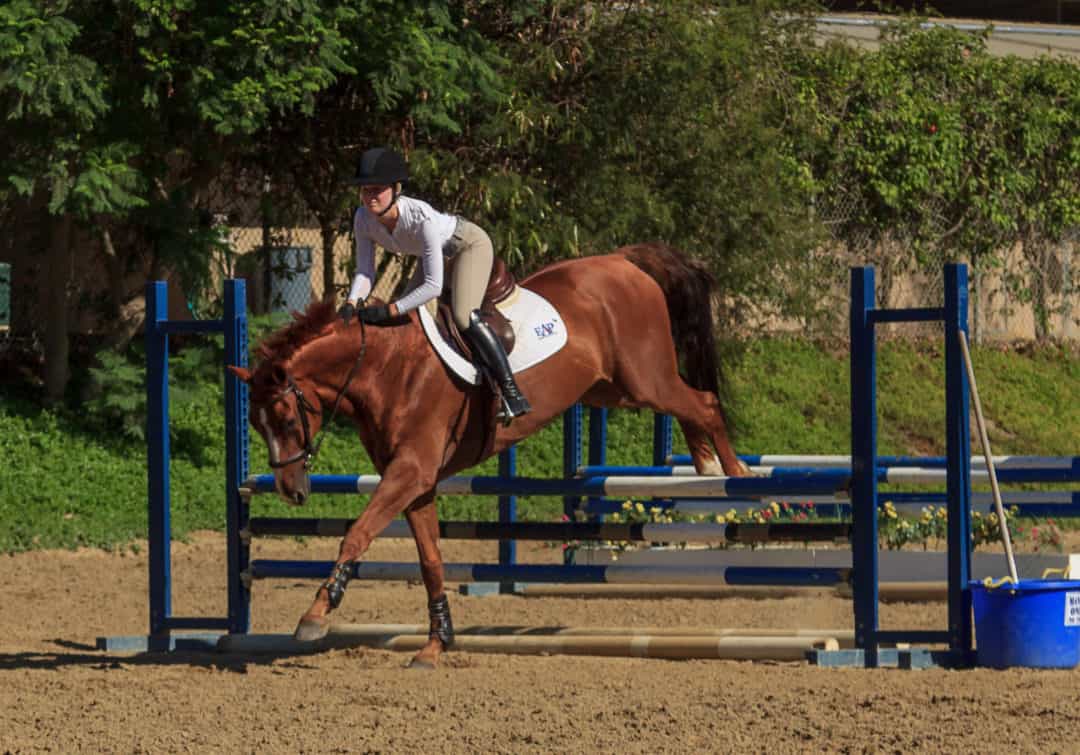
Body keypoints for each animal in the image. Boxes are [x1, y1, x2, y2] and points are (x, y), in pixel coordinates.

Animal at [228, 242, 749, 668]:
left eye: (286, 418)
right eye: (255, 423)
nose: (291, 492)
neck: (386, 366)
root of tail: (624, 261)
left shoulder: (410, 471)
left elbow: (356, 534)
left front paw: (316, 614)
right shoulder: (416, 480)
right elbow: (430, 560)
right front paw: (436, 645)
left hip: (644, 378)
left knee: (703, 402)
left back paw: (733, 476)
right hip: (612, 389)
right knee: (689, 405)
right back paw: (706, 463)